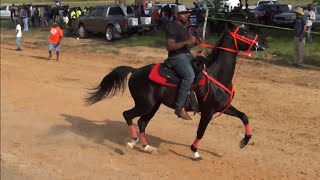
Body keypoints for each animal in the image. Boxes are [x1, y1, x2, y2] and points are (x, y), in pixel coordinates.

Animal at [86, 22, 264, 160]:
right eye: (244, 32)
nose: (263, 42)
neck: (216, 75)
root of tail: (135, 70)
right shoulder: (207, 111)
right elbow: (201, 131)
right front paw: (195, 152)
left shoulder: (223, 107)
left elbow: (244, 116)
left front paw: (244, 141)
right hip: (145, 104)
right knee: (127, 115)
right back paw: (132, 140)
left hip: (153, 106)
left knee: (142, 122)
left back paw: (146, 147)